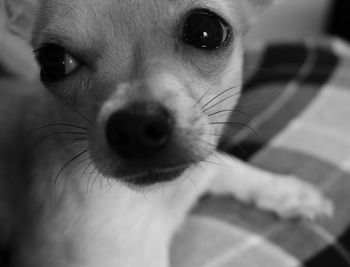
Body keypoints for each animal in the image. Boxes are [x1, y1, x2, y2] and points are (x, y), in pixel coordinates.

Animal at [0, 0, 332, 266]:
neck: (160, 198)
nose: (135, 127)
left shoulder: (202, 161)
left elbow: (229, 166)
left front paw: (287, 191)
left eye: (205, 30)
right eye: (53, 61)